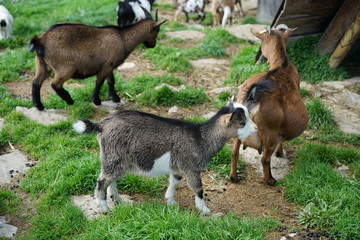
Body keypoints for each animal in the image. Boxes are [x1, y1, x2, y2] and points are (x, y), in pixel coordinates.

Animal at [28, 11, 166, 110]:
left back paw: (39, 106)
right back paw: (69, 100)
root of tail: (41, 41)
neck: (122, 37)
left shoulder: (109, 65)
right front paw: (97, 101)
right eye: (157, 30)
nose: (152, 45)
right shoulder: (105, 67)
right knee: (54, 84)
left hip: (42, 65)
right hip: (65, 68)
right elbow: (99, 82)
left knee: (36, 82)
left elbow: (111, 81)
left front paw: (115, 98)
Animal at [229, 24, 308, 186]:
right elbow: (281, 140)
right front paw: (279, 152)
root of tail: (253, 93)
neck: (282, 64)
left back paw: (233, 177)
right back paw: (270, 180)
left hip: (237, 126)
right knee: (265, 159)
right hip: (269, 132)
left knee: (234, 152)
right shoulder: (280, 130)